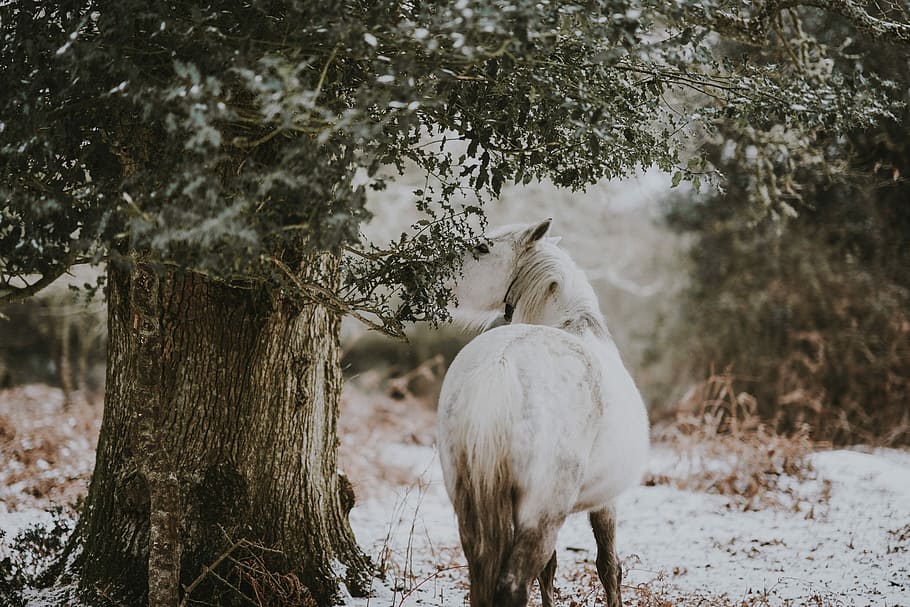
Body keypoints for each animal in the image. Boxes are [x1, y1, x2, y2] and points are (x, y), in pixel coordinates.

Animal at [437, 219, 650, 607]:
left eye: (482, 248)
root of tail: (500, 368)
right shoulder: (606, 502)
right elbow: (609, 566)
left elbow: (552, 570)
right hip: (542, 511)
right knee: (514, 584)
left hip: (470, 505)